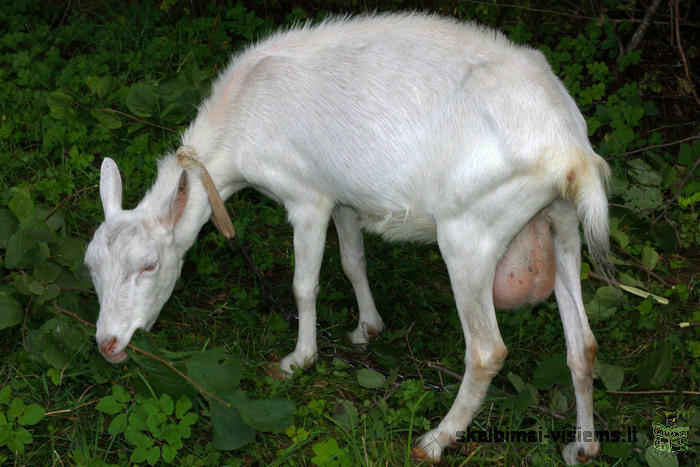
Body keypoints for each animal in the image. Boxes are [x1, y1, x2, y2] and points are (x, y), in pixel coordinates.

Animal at [86, 13, 612, 464]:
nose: (107, 345)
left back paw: (436, 440)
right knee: (582, 343)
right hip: (561, 224)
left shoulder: (307, 198)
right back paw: (582, 447)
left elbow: (304, 285)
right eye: (92, 268)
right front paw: (367, 329)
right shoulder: (344, 199)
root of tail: (573, 154)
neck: (241, 119)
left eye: (150, 264)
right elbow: (352, 262)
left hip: (471, 232)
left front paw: (298, 360)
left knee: (487, 351)